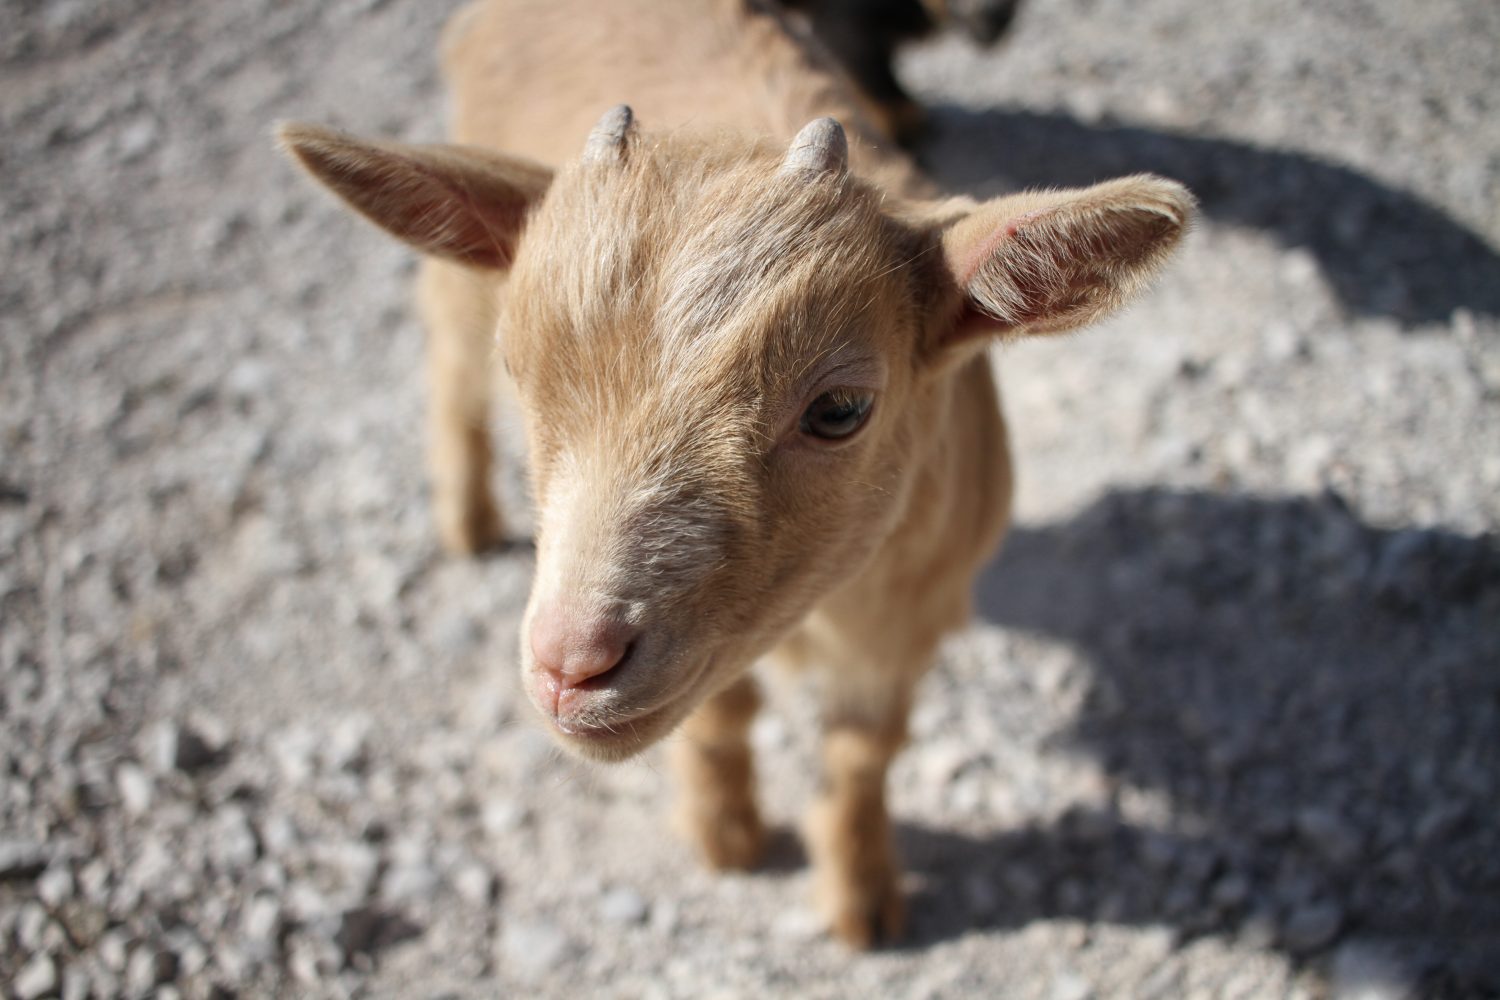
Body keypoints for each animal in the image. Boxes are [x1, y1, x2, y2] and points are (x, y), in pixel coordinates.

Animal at [283, 0, 1194, 947]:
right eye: (519, 368)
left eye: (841, 407)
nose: (570, 667)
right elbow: (724, 711)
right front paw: (726, 835)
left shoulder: (909, 618)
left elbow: (862, 752)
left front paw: (862, 899)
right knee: (446, 360)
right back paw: (464, 519)